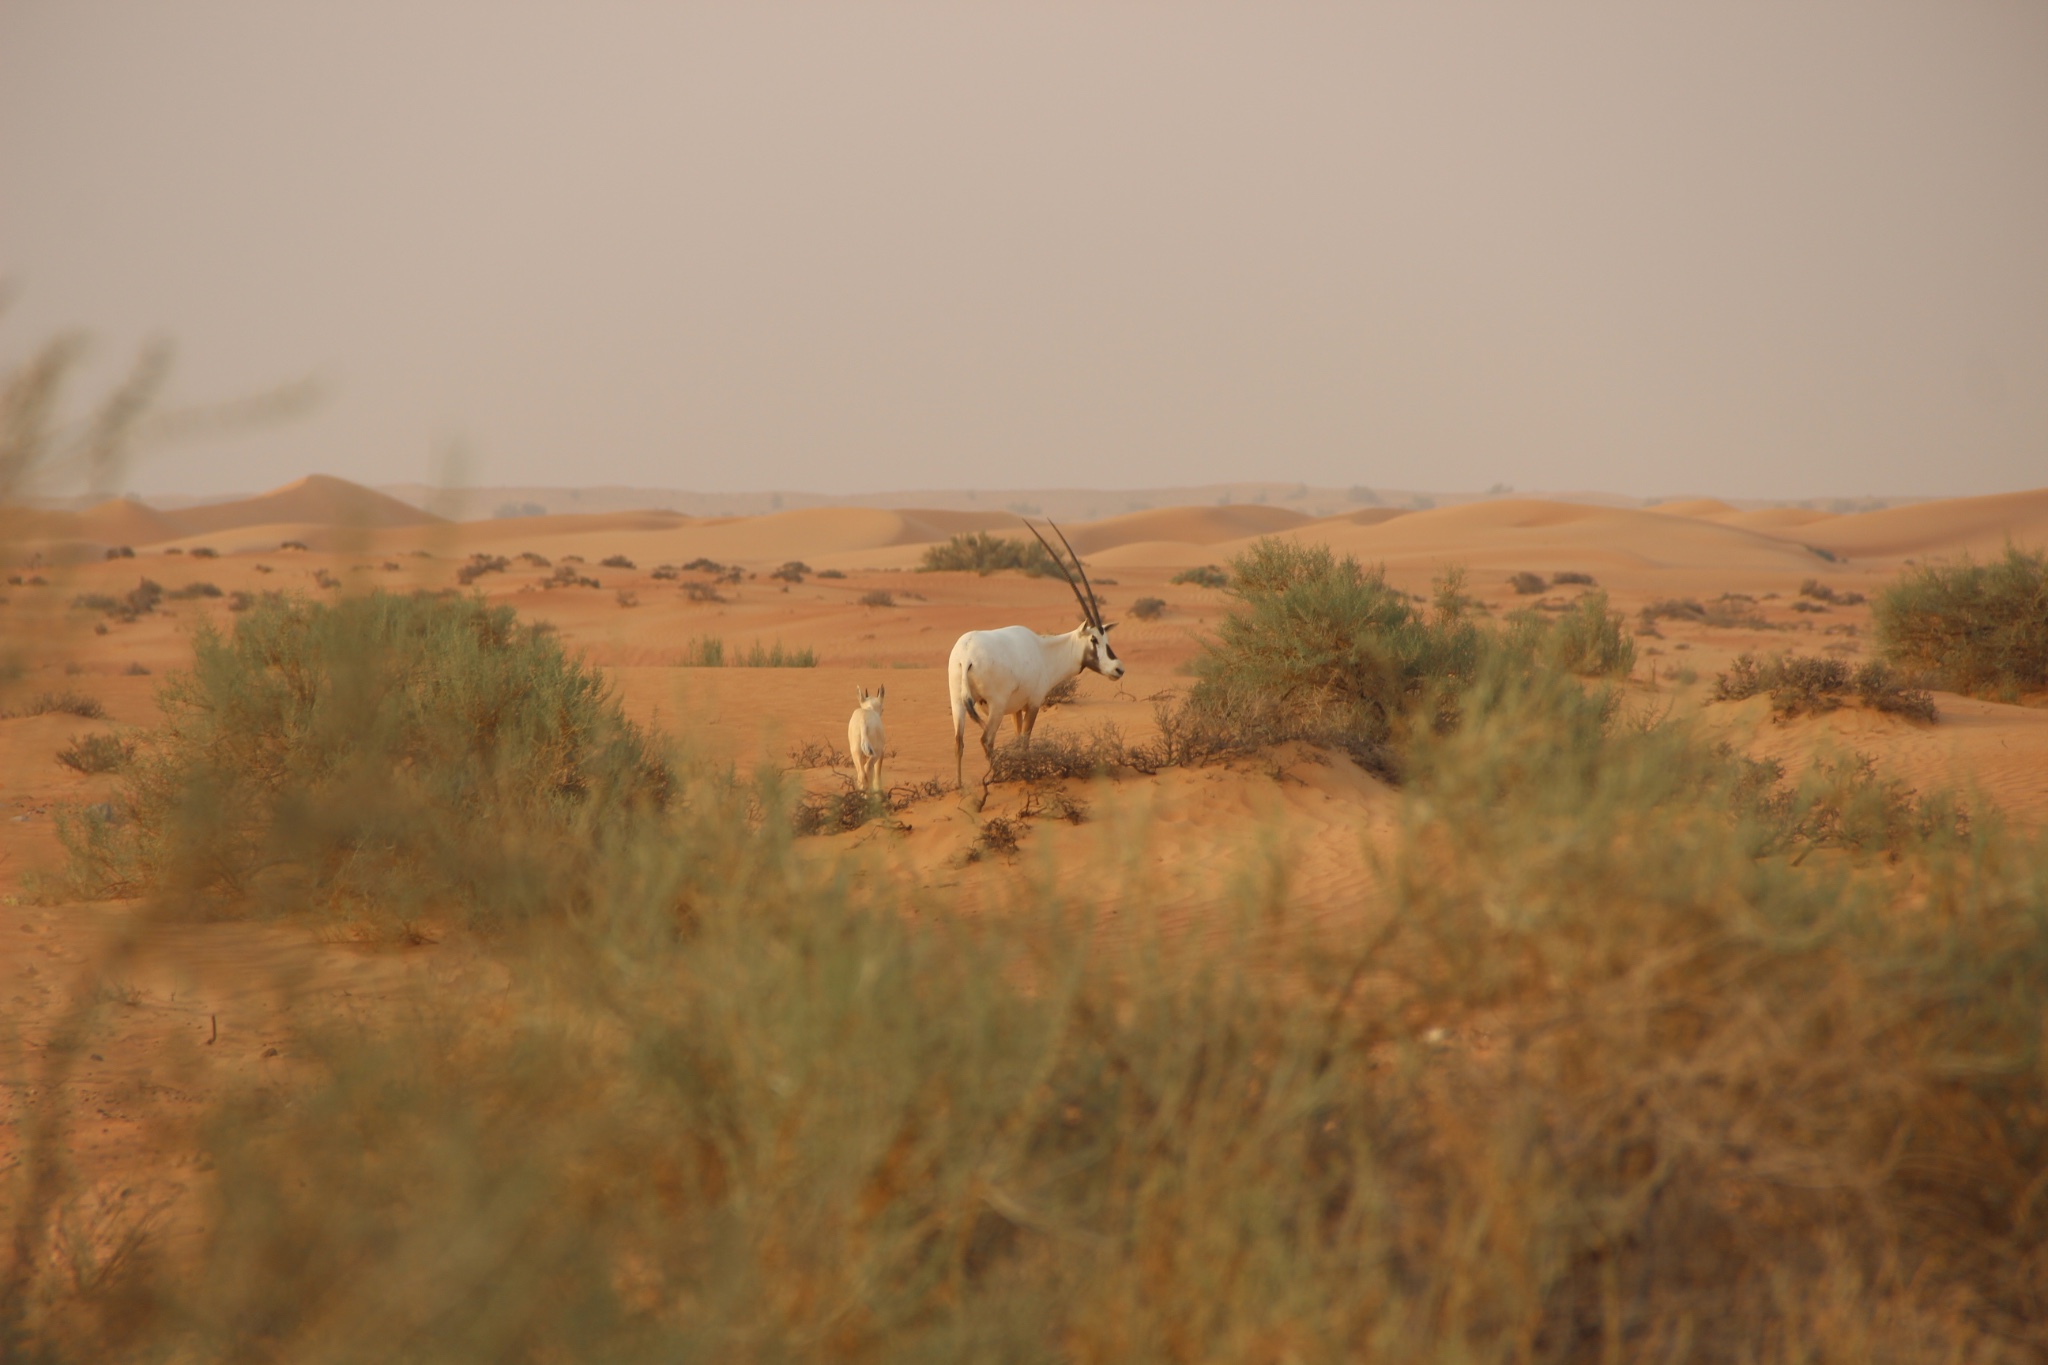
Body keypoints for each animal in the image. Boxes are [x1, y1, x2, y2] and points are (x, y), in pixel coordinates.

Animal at [942, 517, 1122, 785]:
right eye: (1093, 639)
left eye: (1106, 637)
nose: (1118, 669)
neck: (1044, 651)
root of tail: (966, 656)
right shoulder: (1034, 703)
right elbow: (1025, 742)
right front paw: (1024, 772)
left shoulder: (1017, 708)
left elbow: (1018, 741)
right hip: (995, 706)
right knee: (987, 740)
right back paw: (996, 778)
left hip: (958, 702)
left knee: (958, 742)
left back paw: (961, 786)